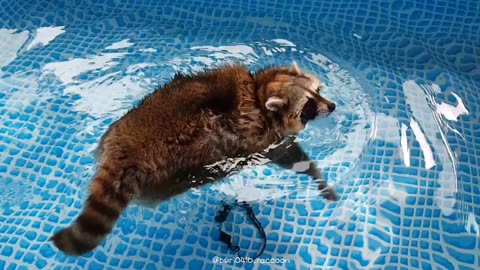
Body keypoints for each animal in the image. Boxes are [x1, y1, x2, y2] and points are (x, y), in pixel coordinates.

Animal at [50, 61, 338, 255]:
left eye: (318, 90)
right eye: (308, 106)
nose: (332, 106)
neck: (259, 92)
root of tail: (125, 152)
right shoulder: (265, 139)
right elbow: (293, 158)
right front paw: (318, 178)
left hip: (118, 129)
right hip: (164, 174)